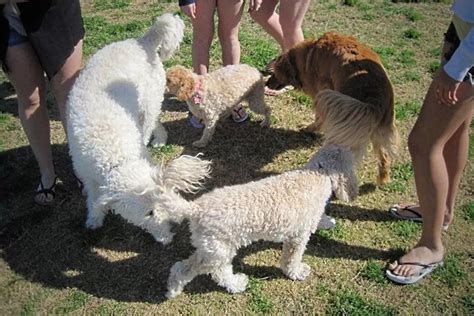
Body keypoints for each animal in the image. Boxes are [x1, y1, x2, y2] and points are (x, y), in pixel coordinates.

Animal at [66, 12, 191, 244]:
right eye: (149, 213)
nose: (175, 228)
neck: (113, 156)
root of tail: (142, 41)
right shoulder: (87, 174)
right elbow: (94, 197)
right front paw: (94, 217)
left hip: (149, 102)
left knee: (151, 122)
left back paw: (157, 138)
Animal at [157, 144, 358, 298]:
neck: (318, 172)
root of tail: (195, 208)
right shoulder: (297, 237)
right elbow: (291, 259)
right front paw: (296, 272)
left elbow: (320, 217)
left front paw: (328, 222)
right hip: (217, 252)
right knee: (193, 270)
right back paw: (177, 289)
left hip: (216, 251)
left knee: (213, 270)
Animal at [266, 31, 400, 185]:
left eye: (273, 73)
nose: (266, 83)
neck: (307, 56)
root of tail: (374, 99)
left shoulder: (322, 93)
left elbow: (319, 118)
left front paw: (310, 128)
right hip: (380, 128)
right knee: (384, 156)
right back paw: (383, 179)